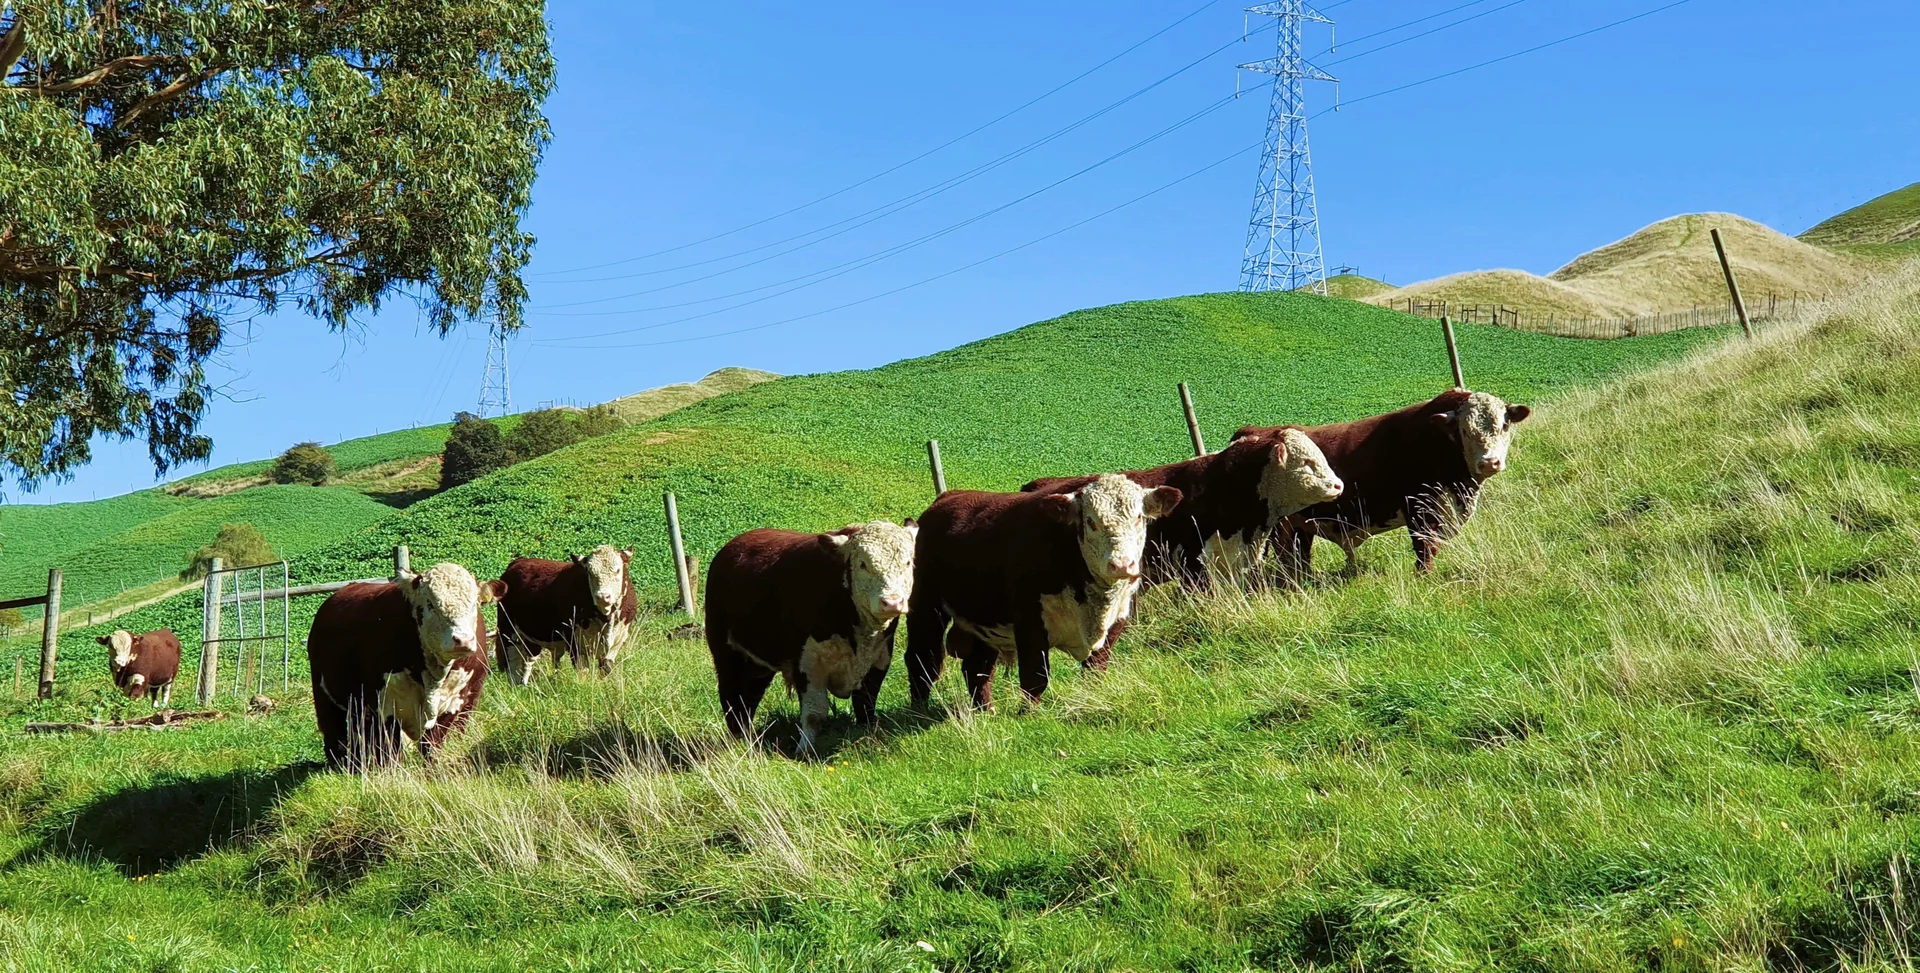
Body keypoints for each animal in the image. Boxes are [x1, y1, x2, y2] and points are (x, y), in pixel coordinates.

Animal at [307, 562, 506, 769]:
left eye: (474, 604)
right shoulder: (383, 707)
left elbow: (432, 746)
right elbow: (390, 754)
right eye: (430, 604)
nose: (463, 640)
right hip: (326, 700)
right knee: (336, 741)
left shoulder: (456, 703)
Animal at [494, 545, 638, 683]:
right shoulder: (575, 643)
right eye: (589, 572)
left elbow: (606, 668)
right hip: (507, 630)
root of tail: (520, 560)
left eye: (618, 570)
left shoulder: (617, 642)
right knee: (512, 663)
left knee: (528, 661)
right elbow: (582, 672)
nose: (603, 596)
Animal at [704, 520, 918, 753]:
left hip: (757, 665)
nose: (892, 602)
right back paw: (739, 742)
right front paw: (804, 750)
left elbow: (866, 705)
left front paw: (866, 737)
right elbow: (814, 714)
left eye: (908, 562)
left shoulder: (879, 659)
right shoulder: (806, 663)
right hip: (726, 654)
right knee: (731, 698)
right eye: (863, 564)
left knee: (748, 700)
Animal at [906, 474, 1182, 711]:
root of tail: (946, 498)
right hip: (925, 608)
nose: (1122, 564)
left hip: (984, 620)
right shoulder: (1030, 620)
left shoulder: (1118, 618)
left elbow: (1095, 670)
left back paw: (985, 711)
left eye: (1139, 517)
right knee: (923, 660)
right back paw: (919, 710)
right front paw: (1027, 715)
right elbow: (1035, 677)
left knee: (976, 667)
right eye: (1090, 522)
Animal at [1236, 389, 1531, 575]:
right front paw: (1423, 578)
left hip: (1299, 528)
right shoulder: (1420, 511)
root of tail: (1253, 432)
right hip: (1280, 530)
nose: (1490, 462)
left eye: (1504, 426)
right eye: (1466, 431)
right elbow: (1425, 549)